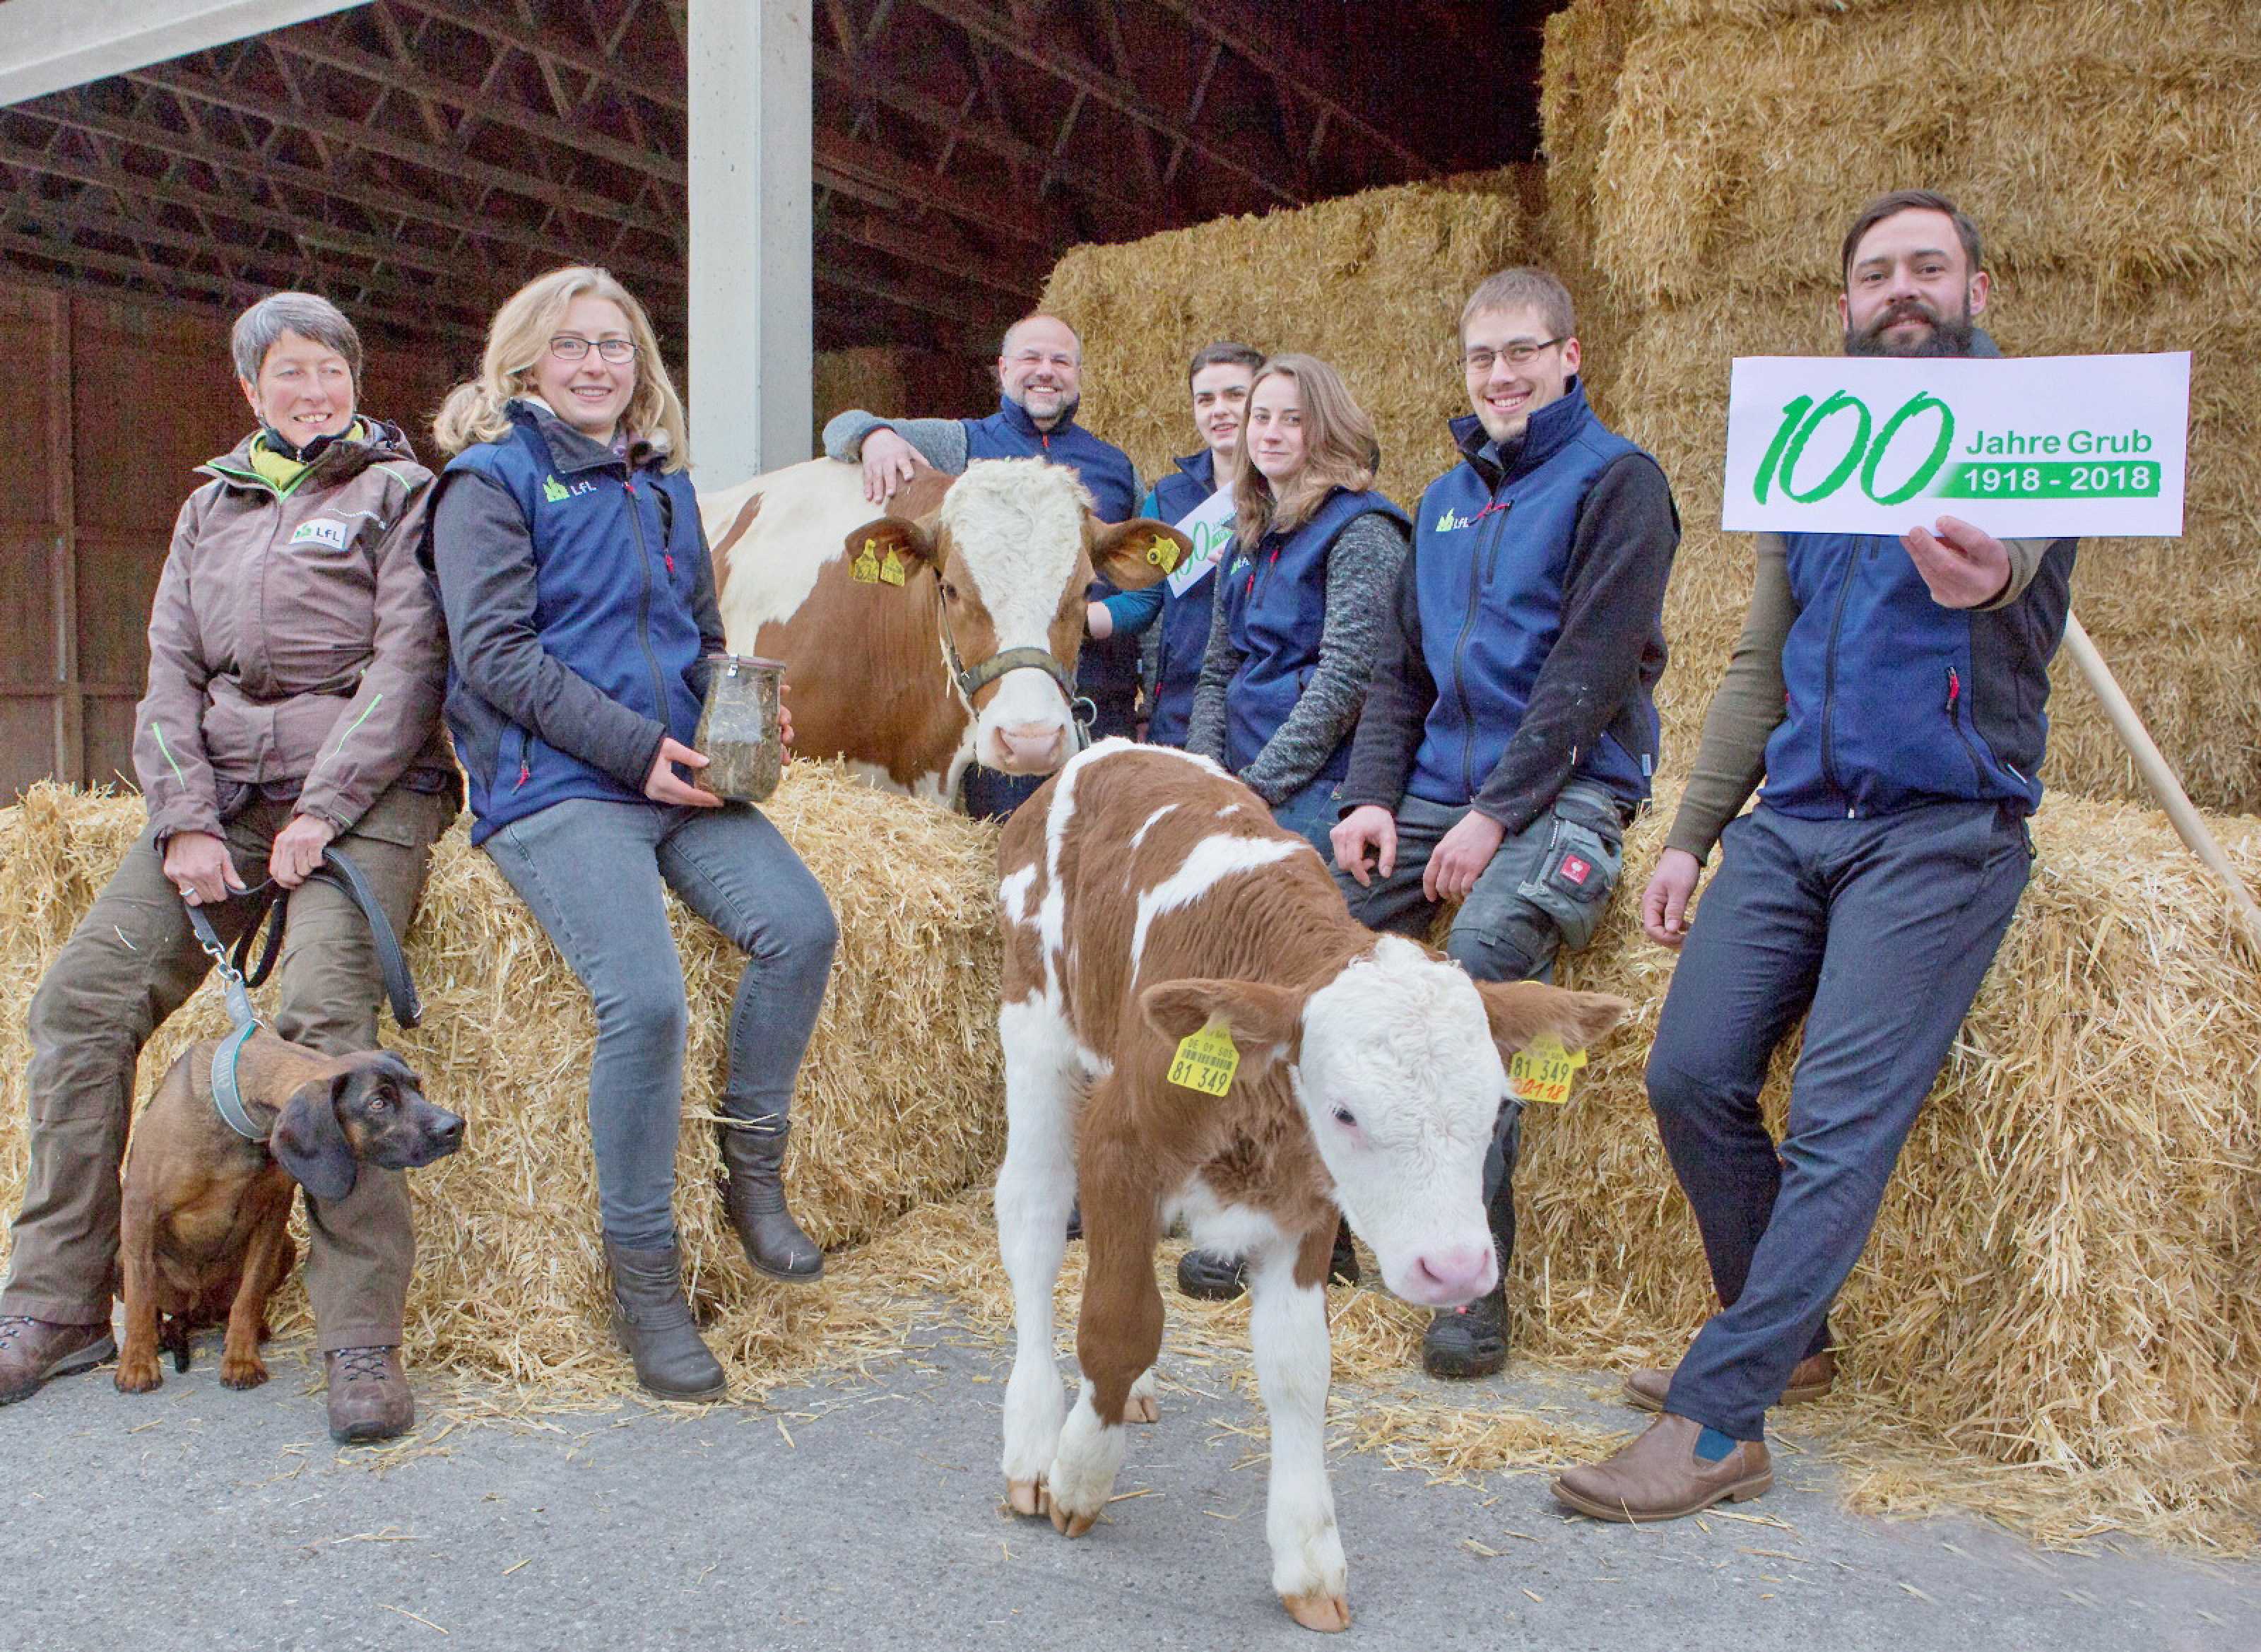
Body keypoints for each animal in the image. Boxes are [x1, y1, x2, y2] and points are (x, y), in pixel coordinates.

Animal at [114, 1033, 464, 1395]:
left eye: (418, 1088)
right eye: (378, 1103)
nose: (456, 1126)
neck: (237, 1122)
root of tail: (198, 1311)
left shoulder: (273, 1214)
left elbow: (249, 1294)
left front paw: (241, 1357)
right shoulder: (140, 1208)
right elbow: (140, 1299)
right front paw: (137, 1364)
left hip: (286, 1246)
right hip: (120, 1256)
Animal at [991, 739, 1632, 1631]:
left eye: (1496, 1105)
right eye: (1345, 1111)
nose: (1456, 1269)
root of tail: (1110, 749)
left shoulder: (1302, 1209)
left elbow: (1297, 1370)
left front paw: (1308, 1560)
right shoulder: (1118, 1146)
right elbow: (1118, 1324)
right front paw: (1080, 1472)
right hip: (1034, 1027)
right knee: (1034, 1219)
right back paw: (1031, 1435)